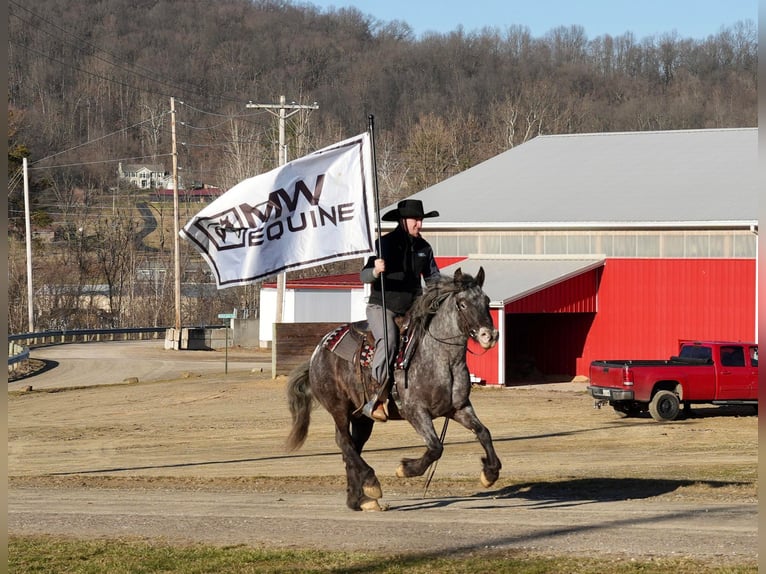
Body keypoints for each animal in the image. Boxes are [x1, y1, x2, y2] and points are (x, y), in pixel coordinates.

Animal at [288, 268, 504, 510]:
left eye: (486, 301)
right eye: (462, 304)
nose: (489, 335)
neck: (441, 359)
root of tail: (319, 350)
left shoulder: (459, 408)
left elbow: (484, 432)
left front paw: (490, 473)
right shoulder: (415, 411)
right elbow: (436, 447)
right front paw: (406, 469)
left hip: (362, 418)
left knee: (352, 446)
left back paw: (359, 498)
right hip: (338, 408)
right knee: (344, 442)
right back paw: (371, 483)